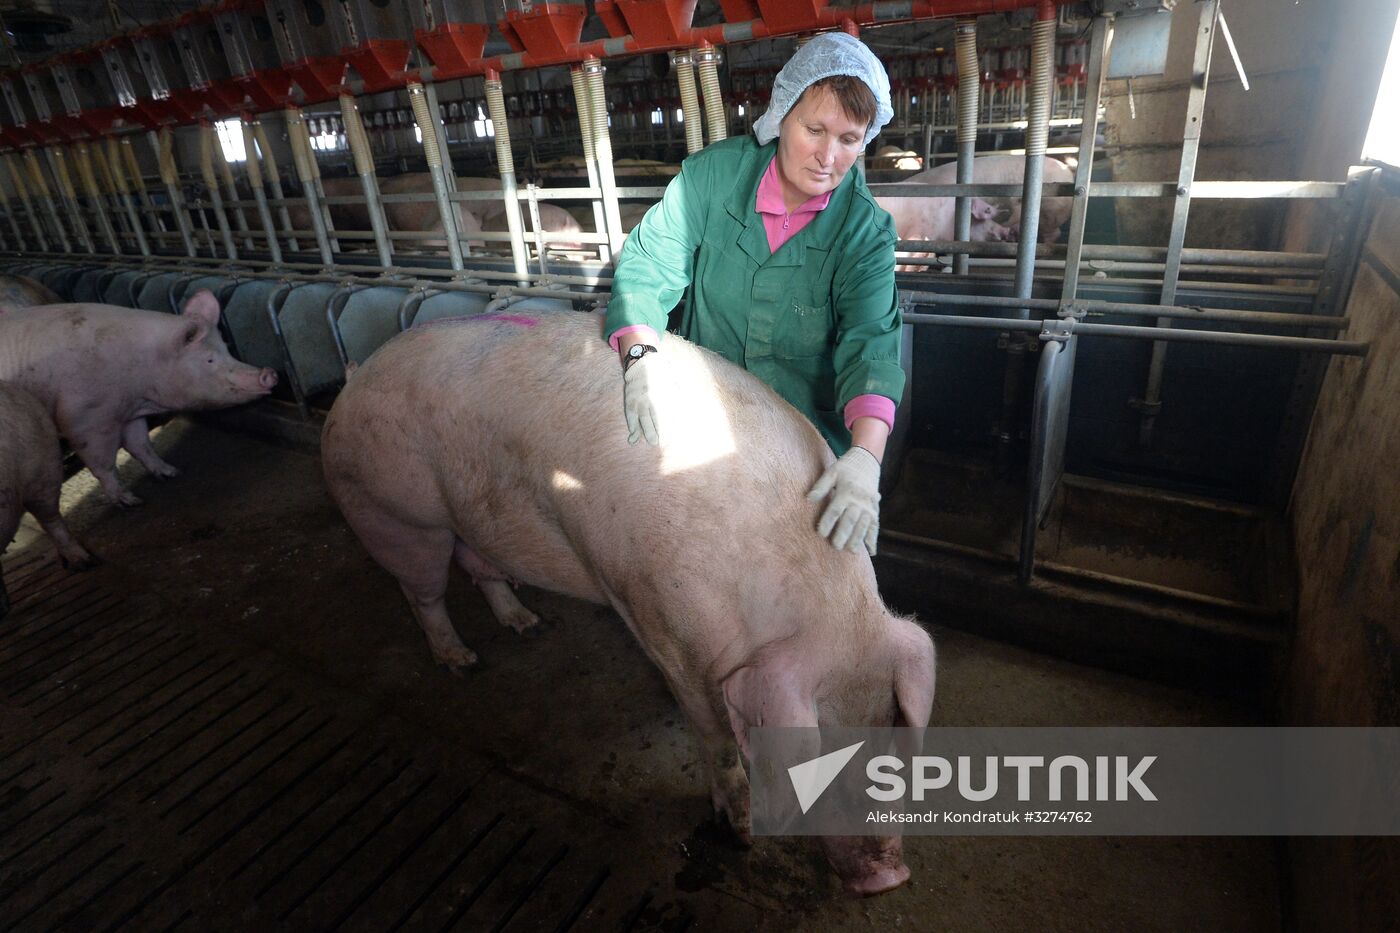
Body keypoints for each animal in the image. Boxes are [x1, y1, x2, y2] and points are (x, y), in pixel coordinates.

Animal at [0, 291, 280, 509]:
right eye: (210, 359)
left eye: (227, 348)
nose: (269, 373)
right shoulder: (83, 419)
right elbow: (103, 463)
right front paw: (131, 501)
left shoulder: (129, 412)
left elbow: (141, 445)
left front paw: (171, 473)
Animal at [320, 311, 935, 896]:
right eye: (818, 752)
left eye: (889, 732)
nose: (889, 877)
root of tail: (355, 379)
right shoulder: (665, 626)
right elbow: (711, 734)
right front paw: (738, 832)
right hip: (391, 511)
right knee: (422, 592)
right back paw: (462, 662)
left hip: (465, 519)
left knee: (480, 567)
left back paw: (529, 624)